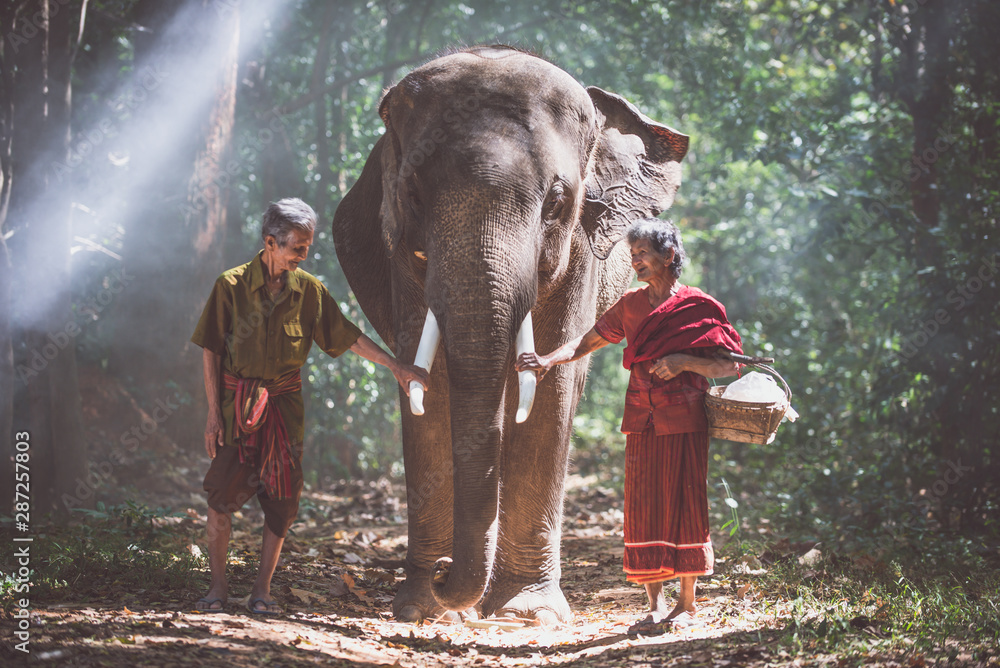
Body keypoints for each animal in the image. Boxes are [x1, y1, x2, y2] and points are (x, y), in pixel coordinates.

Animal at [331, 45, 688, 624]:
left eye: (556, 203)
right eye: (412, 194)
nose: (442, 571)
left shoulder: (582, 250)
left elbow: (551, 387)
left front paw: (527, 612)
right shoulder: (400, 255)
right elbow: (432, 384)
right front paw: (425, 609)